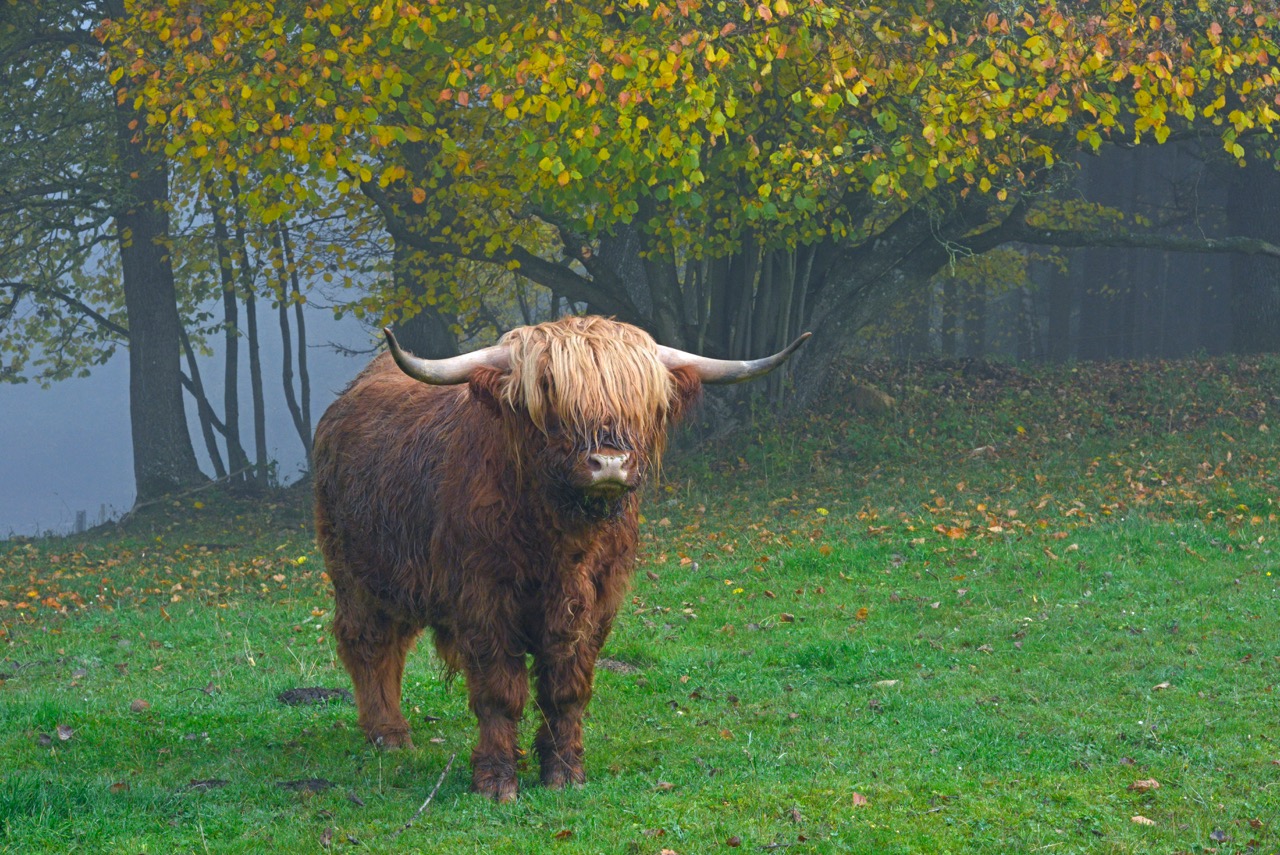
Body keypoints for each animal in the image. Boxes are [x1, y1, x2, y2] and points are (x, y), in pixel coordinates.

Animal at [313, 315, 808, 801]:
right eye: (551, 393)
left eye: (640, 398)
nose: (610, 462)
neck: (558, 542)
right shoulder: (483, 600)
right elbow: (499, 692)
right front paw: (496, 780)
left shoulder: (595, 603)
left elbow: (566, 690)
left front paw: (565, 771)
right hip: (354, 572)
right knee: (368, 642)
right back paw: (388, 733)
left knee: (393, 643)